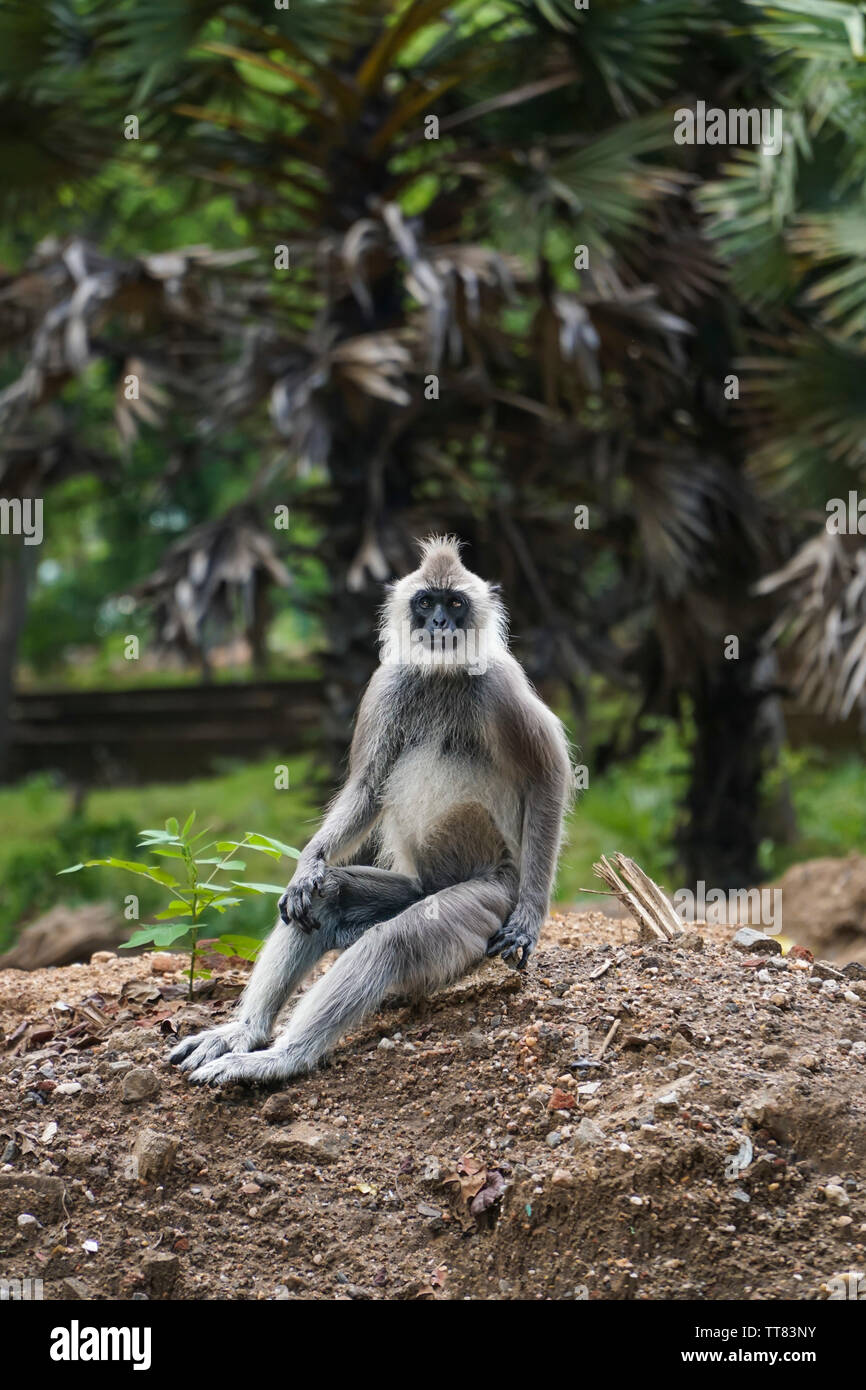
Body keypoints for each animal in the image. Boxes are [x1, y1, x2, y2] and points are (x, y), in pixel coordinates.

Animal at [170, 536, 572, 1087]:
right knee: (327, 900)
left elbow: (548, 775)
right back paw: (244, 1033)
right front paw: (307, 866)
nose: (439, 624)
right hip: (415, 887)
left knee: (394, 942)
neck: (439, 676)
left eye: (455, 603)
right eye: (426, 602)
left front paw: (530, 920)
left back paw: (282, 1058)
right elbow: (365, 789)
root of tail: (436, 883)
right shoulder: (388, 684)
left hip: (489, 894)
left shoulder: (500, 683)